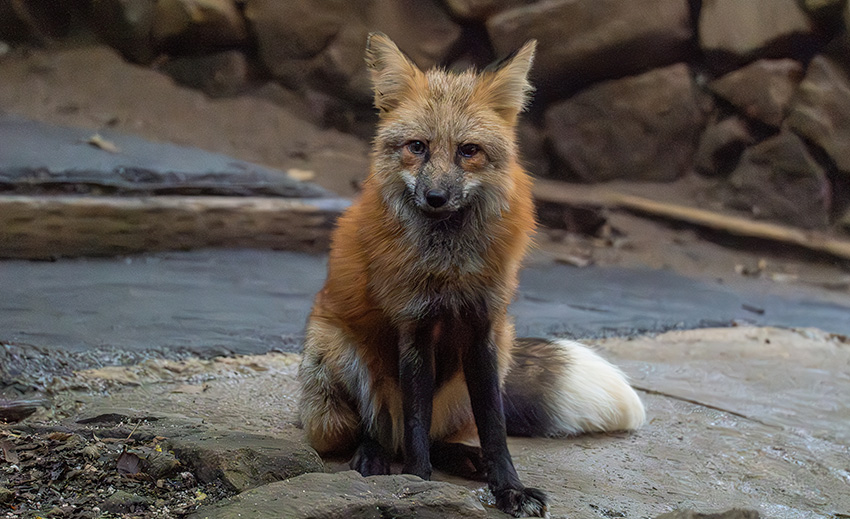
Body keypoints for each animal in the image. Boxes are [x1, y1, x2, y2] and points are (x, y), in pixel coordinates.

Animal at [298, 33, 646, 517]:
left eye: (469, 151)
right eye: (417, 146)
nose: (435, 197)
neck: (451, 266)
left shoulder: (483, 329)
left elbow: (494, 429)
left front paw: (510, 489)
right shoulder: (414, 328)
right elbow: (416, 425)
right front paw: (417, 486)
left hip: (498, 351)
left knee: (436, 435)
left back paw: (465, 458)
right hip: (341, 359)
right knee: (382, 429)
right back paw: (374, 457)